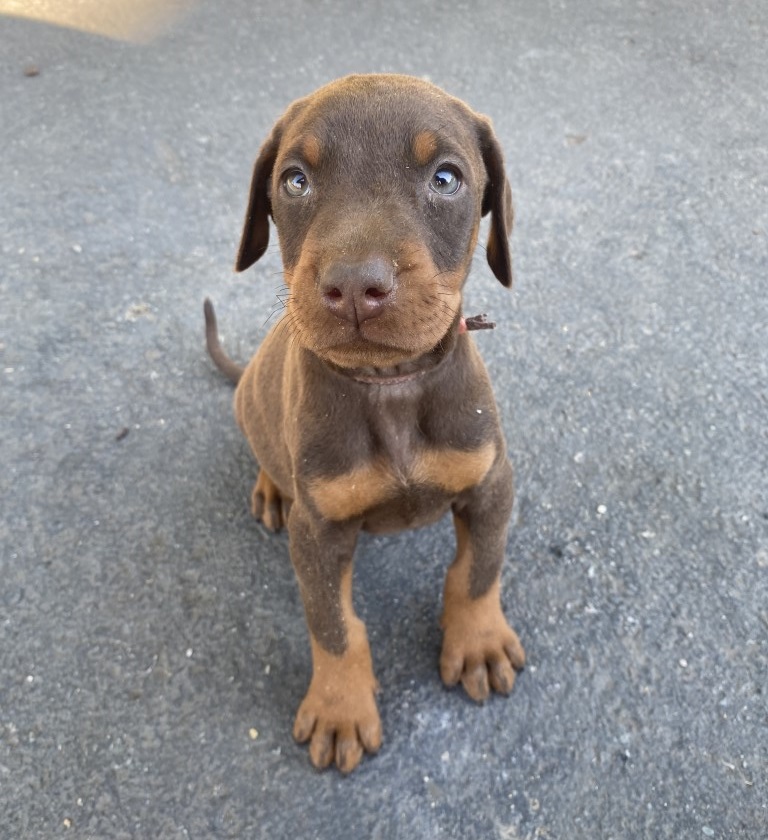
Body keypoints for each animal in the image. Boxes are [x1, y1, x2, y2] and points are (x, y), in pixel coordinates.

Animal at [204, 74, 524, 776]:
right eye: (295, 180)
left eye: (445, 178)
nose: (354, 287)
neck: (390, 385)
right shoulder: (318, 531)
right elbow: (333, 625)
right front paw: (339, 707)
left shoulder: (490, 481)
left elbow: (479, 569)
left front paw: (479, 641)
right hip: (254, 409)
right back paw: (270, 489)